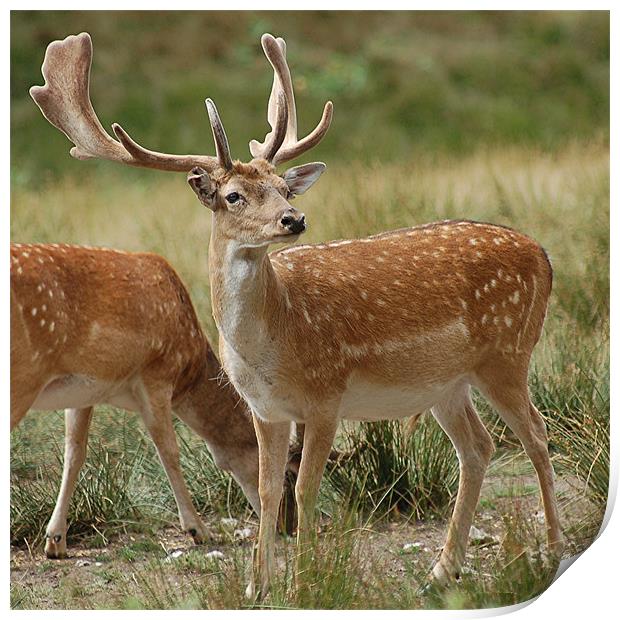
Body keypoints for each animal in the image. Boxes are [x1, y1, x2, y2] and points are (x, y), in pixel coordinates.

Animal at [27, 31, 560, 600]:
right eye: (233, 195)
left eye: (284, 188)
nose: (294, 218)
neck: (273, 344)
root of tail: (544, 257)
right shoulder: (266, 409)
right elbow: (265, 488)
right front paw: (257, 587)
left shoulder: (327, 395)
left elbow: (304, 489)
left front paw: (307, 582)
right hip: (445, 382)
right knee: (478, 447)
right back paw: (441, 571)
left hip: (507, 353)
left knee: (536, 432)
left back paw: (550, 549)